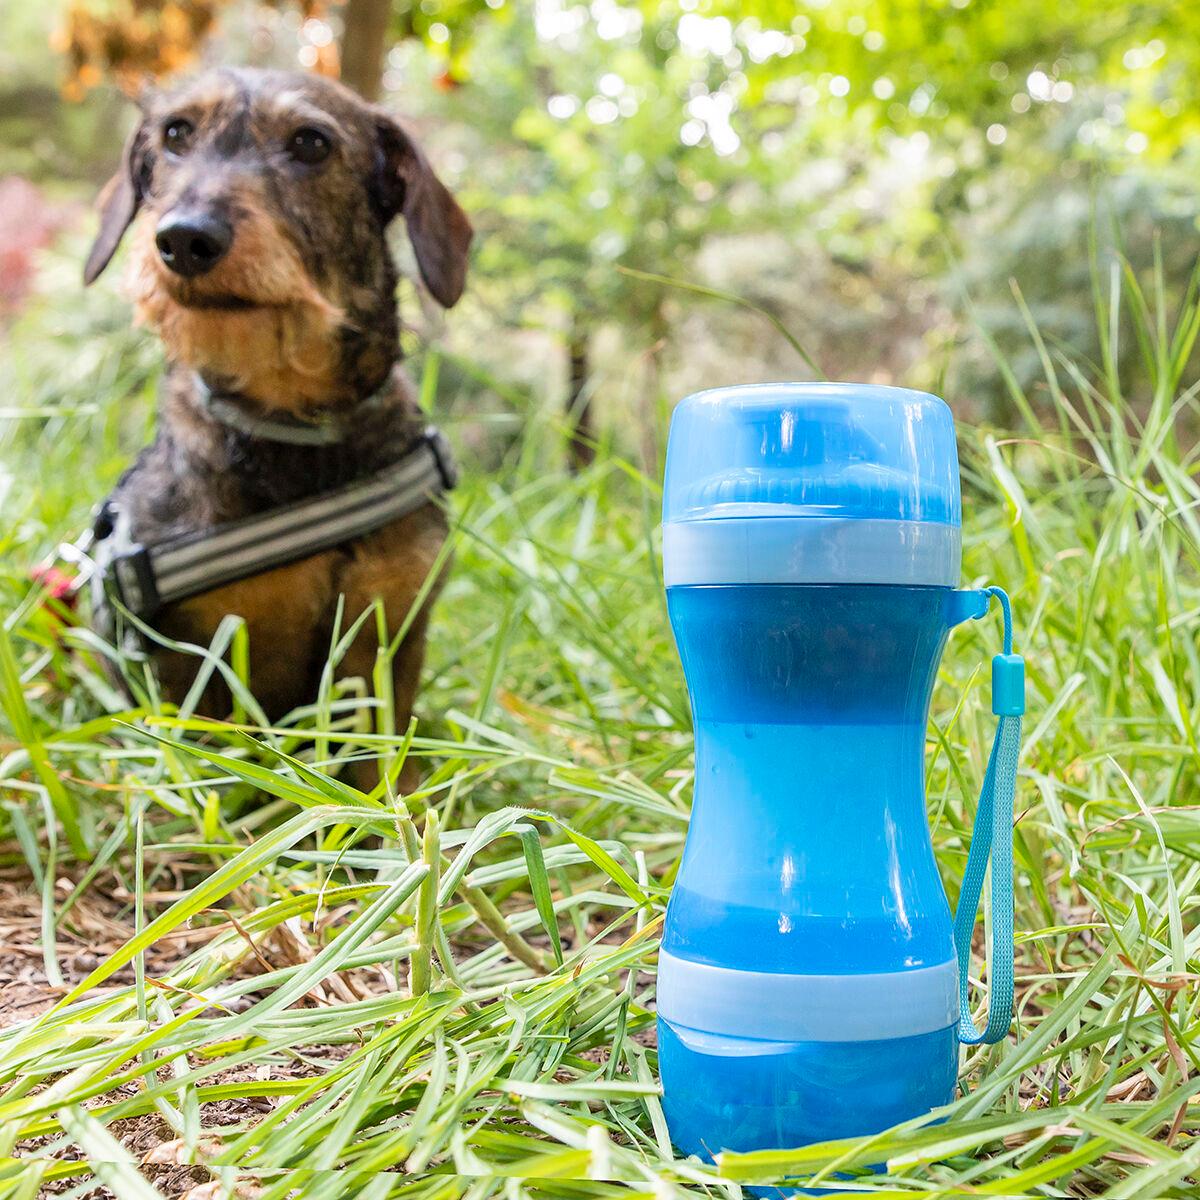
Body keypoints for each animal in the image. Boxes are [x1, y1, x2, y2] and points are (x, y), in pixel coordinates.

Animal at [81, 65, 468, 748]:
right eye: (175, 133)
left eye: (311, 143)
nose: (184, 238)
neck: (295, 431)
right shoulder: (185, 668)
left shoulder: (387, 640)